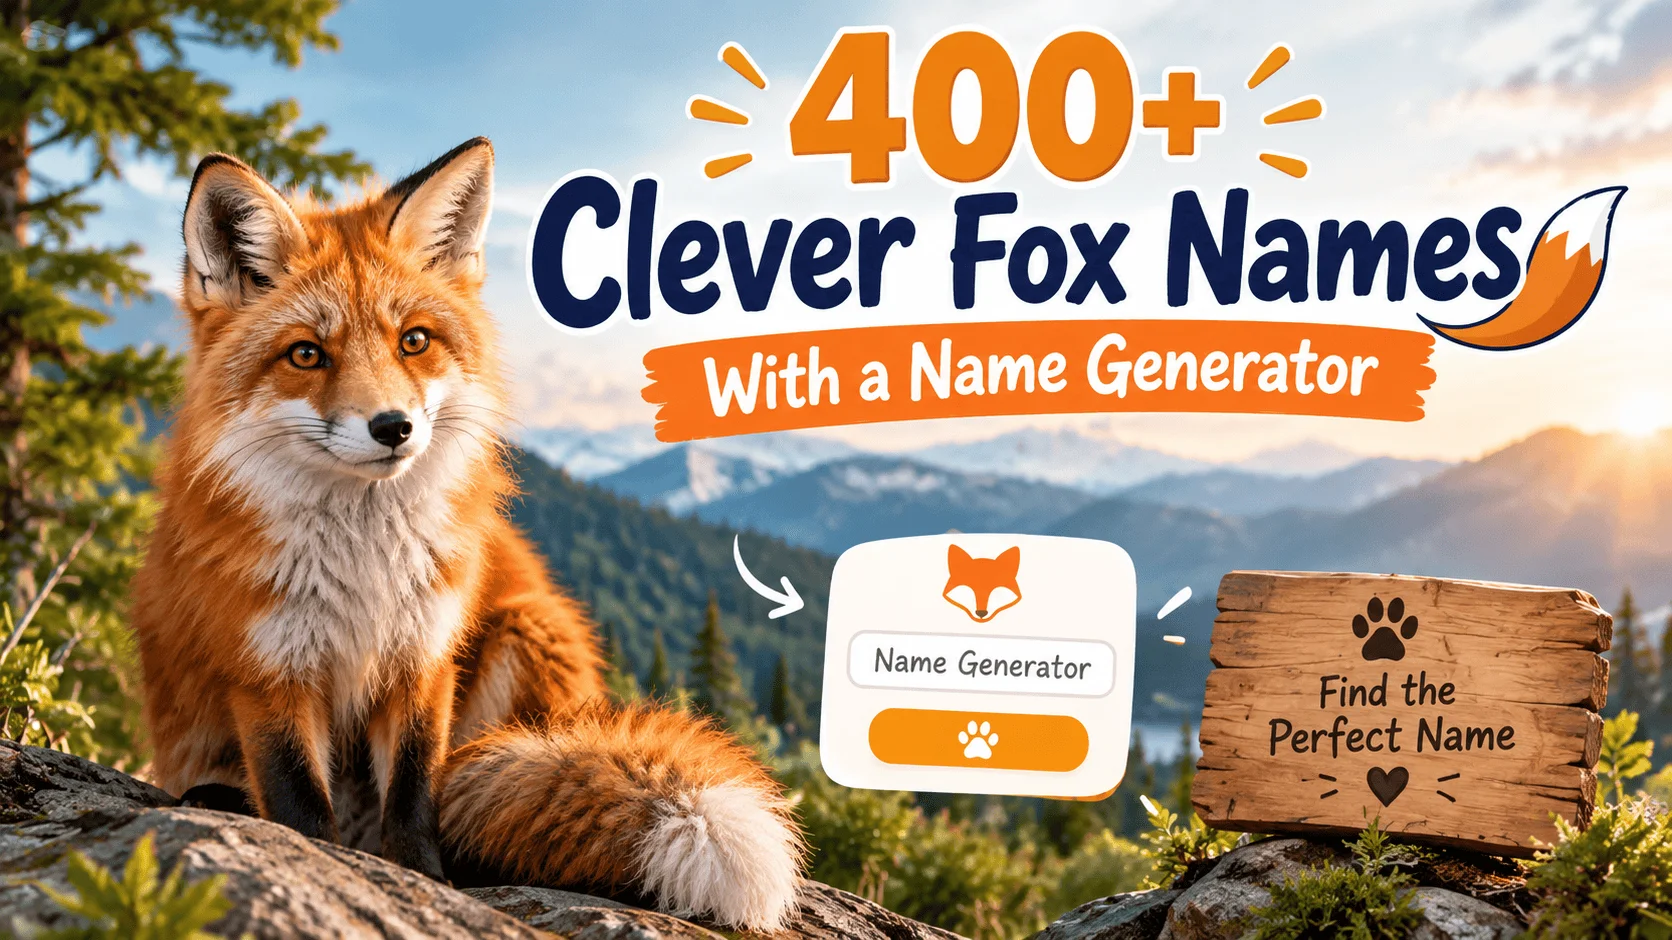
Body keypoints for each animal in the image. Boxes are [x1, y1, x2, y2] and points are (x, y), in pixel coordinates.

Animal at [128, 138, 803, 930]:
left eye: (413, 341)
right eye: (306, 354)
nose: (393, 427)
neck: (362, 569)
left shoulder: (424, 656)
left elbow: (415, 796)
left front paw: (426, 883)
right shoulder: (266, 671)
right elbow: (300, 809)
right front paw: (324, 863)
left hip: (529, 629)